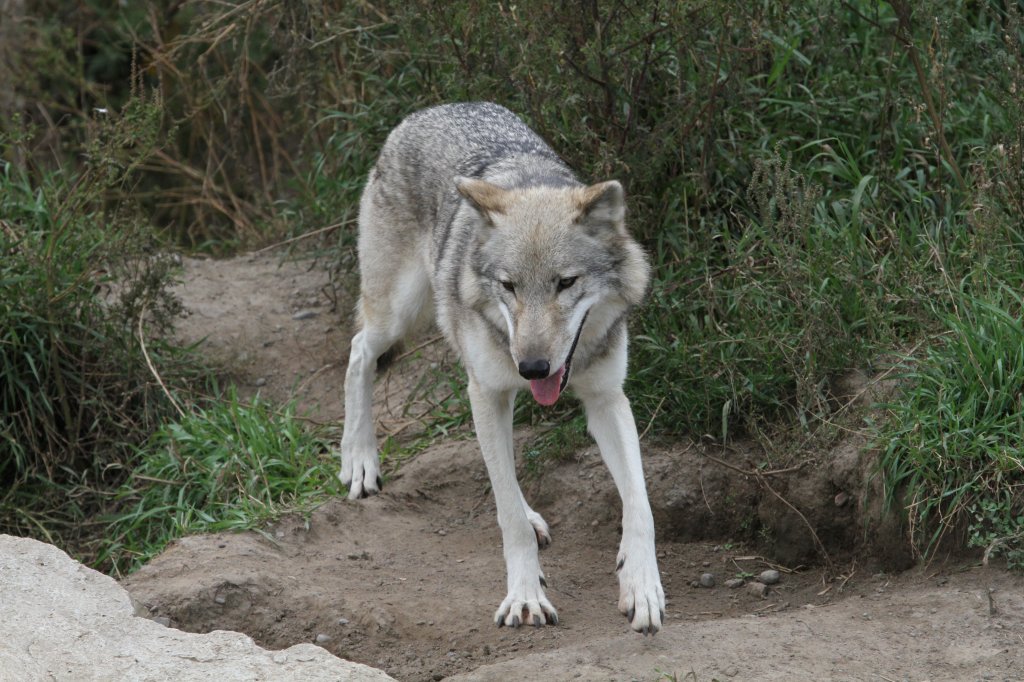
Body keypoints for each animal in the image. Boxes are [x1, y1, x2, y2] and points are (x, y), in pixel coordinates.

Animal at [339, 100, 667, 630]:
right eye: (509, 285)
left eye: (565, 282)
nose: (532, 366)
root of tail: (434, 108)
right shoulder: (488, 391)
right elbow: (506, 514)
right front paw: (526, 597)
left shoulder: (606, 398)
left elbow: (639, 504)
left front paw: (641, 586)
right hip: (400, 315)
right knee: (358, 352)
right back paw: (359, 460)